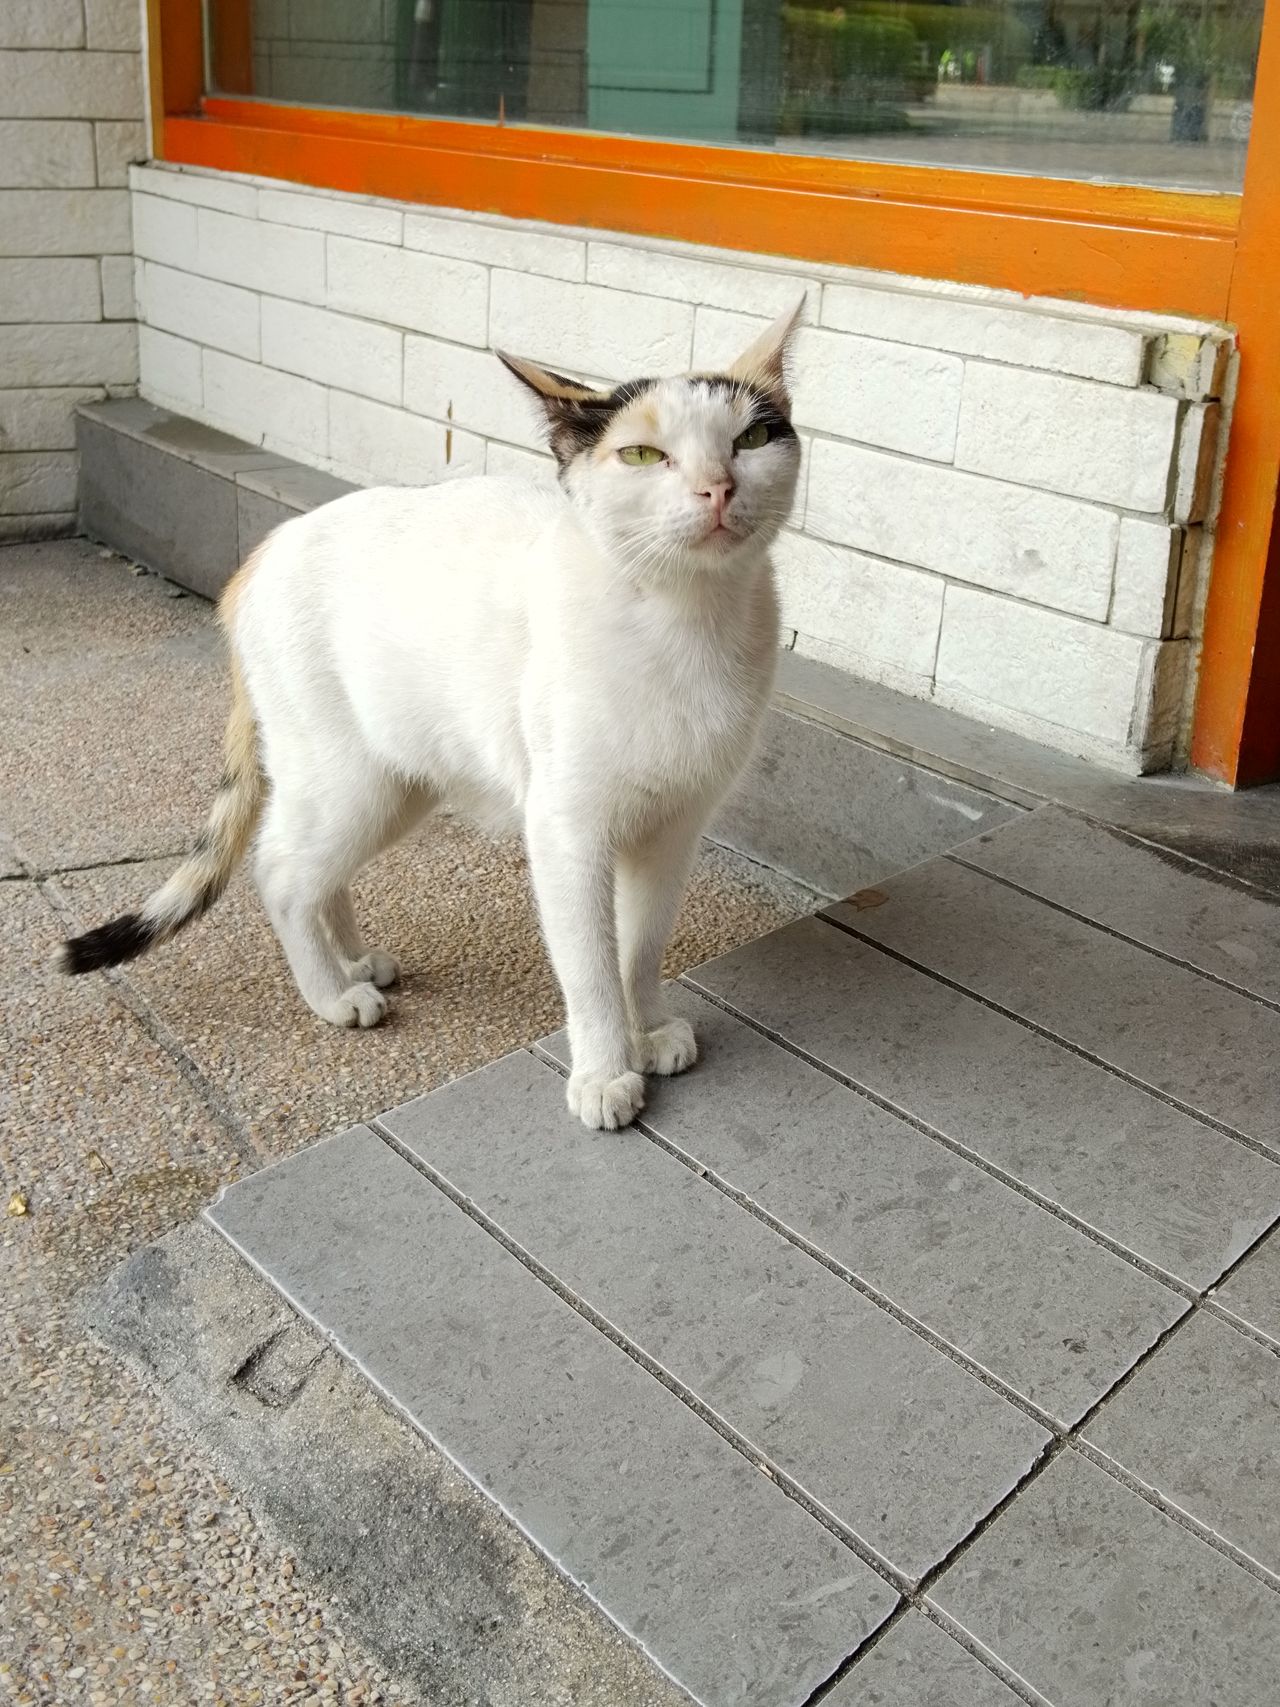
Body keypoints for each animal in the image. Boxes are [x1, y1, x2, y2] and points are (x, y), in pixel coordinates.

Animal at [59, 301, 803, 1130]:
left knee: (317, 870)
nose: (718, 489)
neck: (682, 620)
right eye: (644, 455)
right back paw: (332, 995)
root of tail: (262, 552)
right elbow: (590, 966)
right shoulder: (566, 830)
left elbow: (639, 947)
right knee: (280, 869)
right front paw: (606, 1069)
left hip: (392, 786)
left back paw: (354, 959)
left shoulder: (674, 828)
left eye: (750, 440)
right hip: (346, 779)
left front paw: (650, 1029)